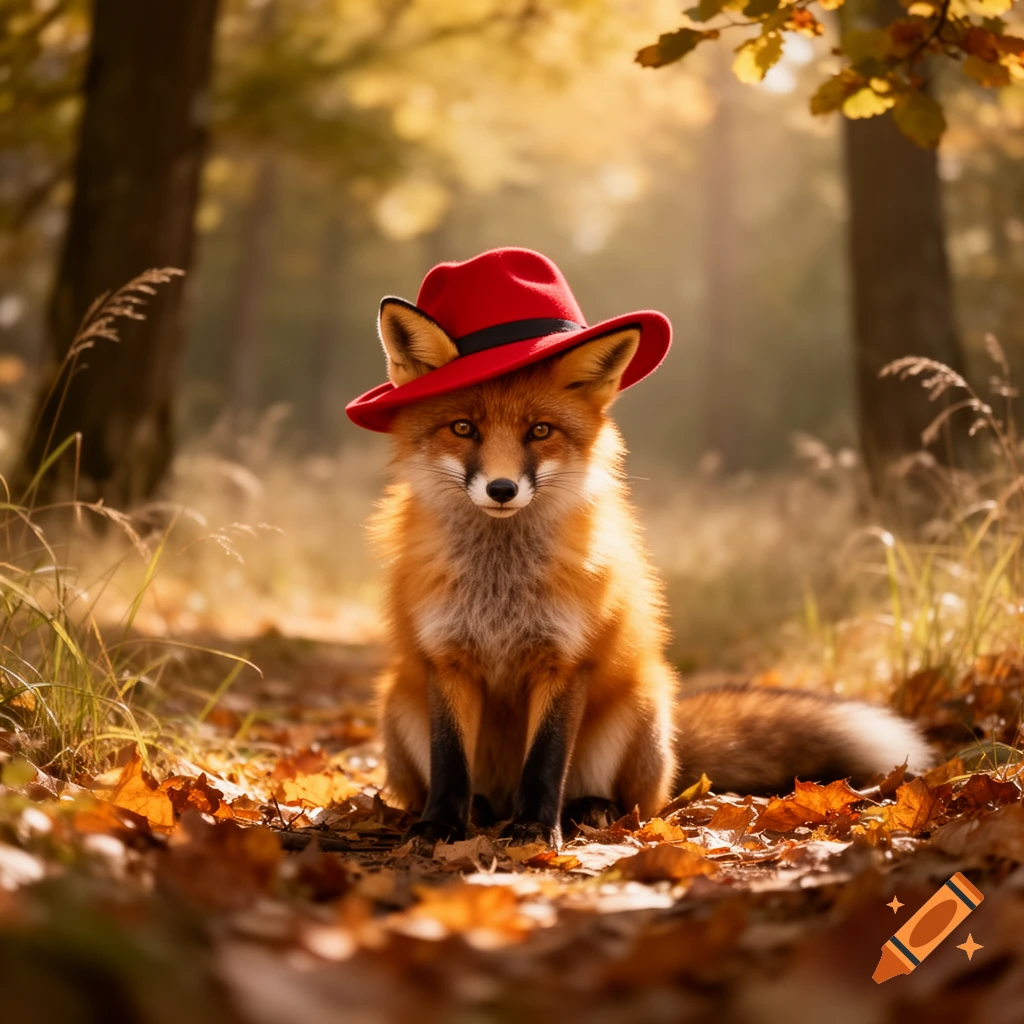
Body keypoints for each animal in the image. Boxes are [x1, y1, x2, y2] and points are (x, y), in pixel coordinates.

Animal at [368, 298, 932, 850]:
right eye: (464, 428)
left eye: (540, 431)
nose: (502, 489)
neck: (499, 585)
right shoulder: (446, 657)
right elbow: (450, 762)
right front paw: (441, 825)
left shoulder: (565, 660)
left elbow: (545, 762)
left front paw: (534, 830)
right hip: (398, 704)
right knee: (463, 786)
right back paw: (478, 811)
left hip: (642, 707)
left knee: (632, 803)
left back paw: (587, 810)